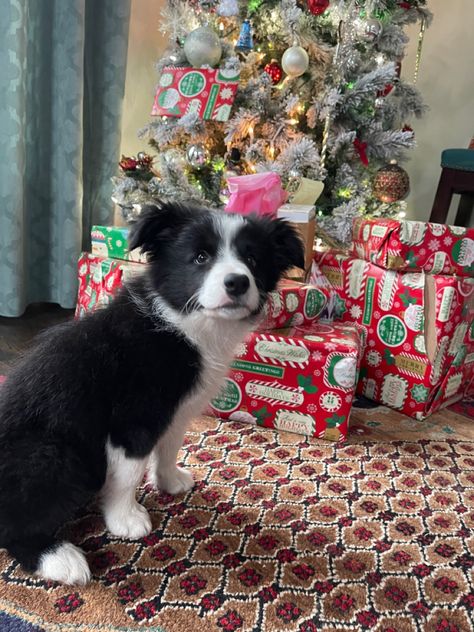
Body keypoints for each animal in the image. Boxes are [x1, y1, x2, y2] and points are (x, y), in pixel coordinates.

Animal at [0, 201, 304, 584]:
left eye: (252, 258)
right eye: (201, 257)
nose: (237, 282)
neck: (185, 325)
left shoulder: (175, 411)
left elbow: (170, 447)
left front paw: (170, 481)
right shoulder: (134, 418)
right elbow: (129, 472)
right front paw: (126, 519)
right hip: (52, 454)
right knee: (13, 524)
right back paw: (60, 558)